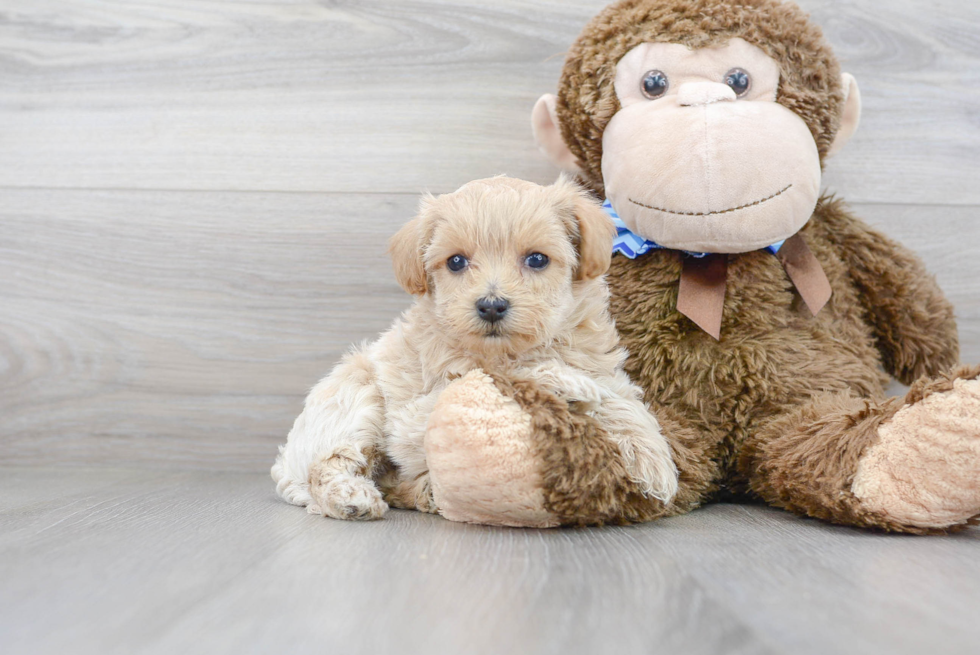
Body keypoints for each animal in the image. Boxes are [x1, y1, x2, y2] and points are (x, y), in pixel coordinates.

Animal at [272, 176, 676, 524]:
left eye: (537, 259)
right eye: (456, 261)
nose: (491, 305)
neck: (508, 349)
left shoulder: (602, 368)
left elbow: (620, 399)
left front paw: (653, 459)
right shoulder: (413, 415)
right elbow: (501, 375)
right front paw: (564, 382)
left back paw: (425, 492)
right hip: (355, 398)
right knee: (326, 466)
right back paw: (352, 497)